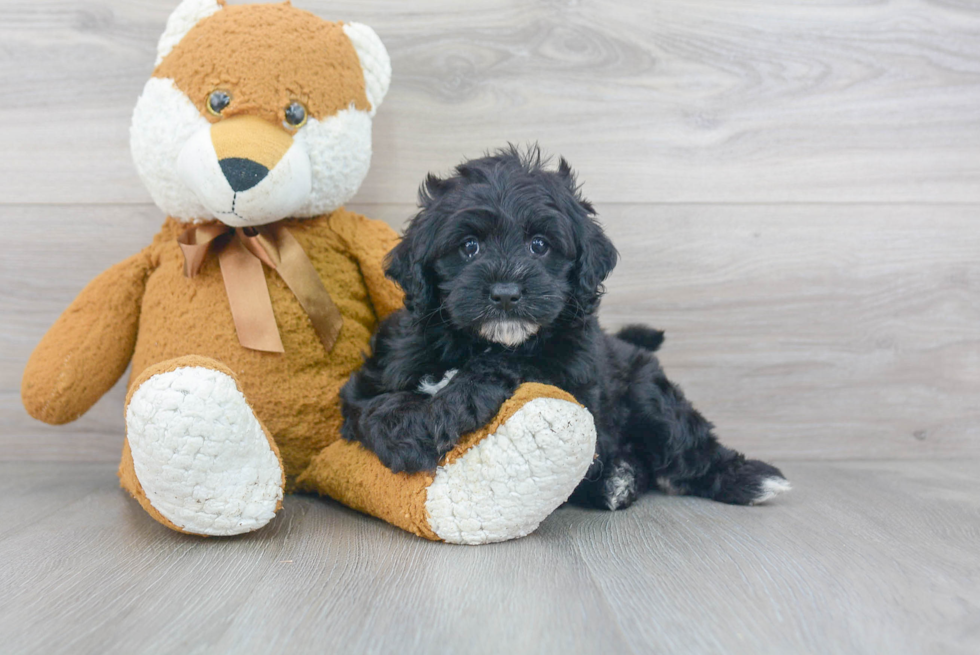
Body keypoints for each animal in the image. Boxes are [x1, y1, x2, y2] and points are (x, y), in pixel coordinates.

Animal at [340, 146, 792, 510]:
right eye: (469, 247)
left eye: (540, 245)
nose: (505, 293)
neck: (485, 342)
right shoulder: (379, 372)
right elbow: (374, 410)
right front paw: (414, 433)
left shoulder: (574, 377)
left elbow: (518, 369)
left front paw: (457, 398)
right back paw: (618, 481)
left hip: (648, 394)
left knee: (684, 441)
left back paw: (745, 479)